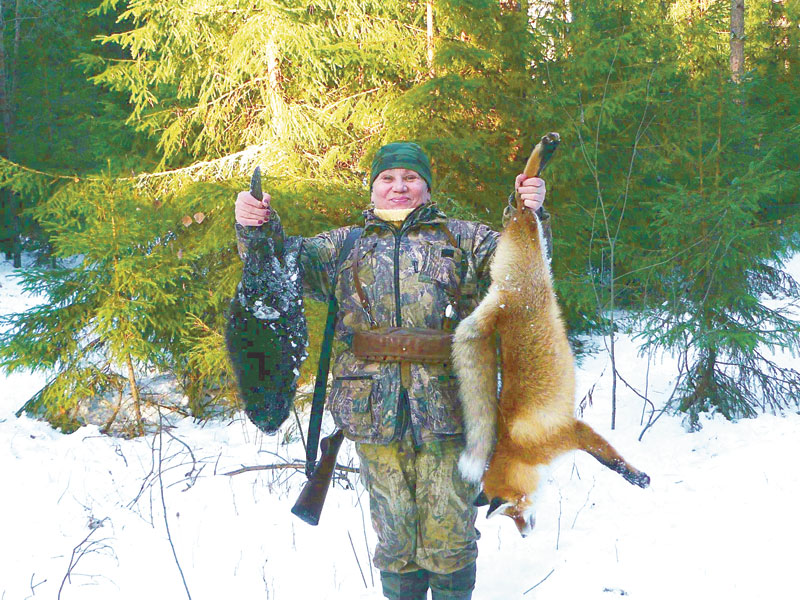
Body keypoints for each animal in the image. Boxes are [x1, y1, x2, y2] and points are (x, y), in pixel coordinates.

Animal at [452, 132, 650, 537]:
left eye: (512, 511)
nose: (525, 534)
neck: (520, 449)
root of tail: (503, 297)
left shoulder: (573, 431)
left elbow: (610, 461)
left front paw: (637, 478)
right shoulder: (573, 430)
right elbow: (607, 460)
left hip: (529, 244)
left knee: (524, 201)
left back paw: (542, 156)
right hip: (536, 251)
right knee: (523, 206)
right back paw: (546, 152)